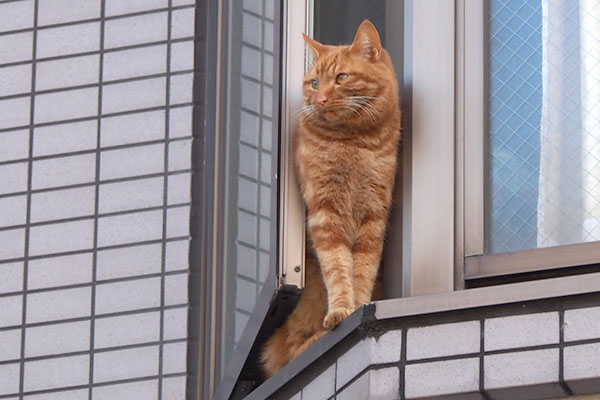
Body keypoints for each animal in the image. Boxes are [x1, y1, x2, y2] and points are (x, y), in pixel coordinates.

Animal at [258, 19, 398, 378]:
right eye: (314, 82)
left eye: (342, 78)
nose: (319, 99)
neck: (353, 141)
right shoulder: (325, 212)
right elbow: (337, 267)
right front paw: (342, 310)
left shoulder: (374, 214)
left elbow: (363, 268)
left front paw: (359, 306)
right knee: (287, 350)